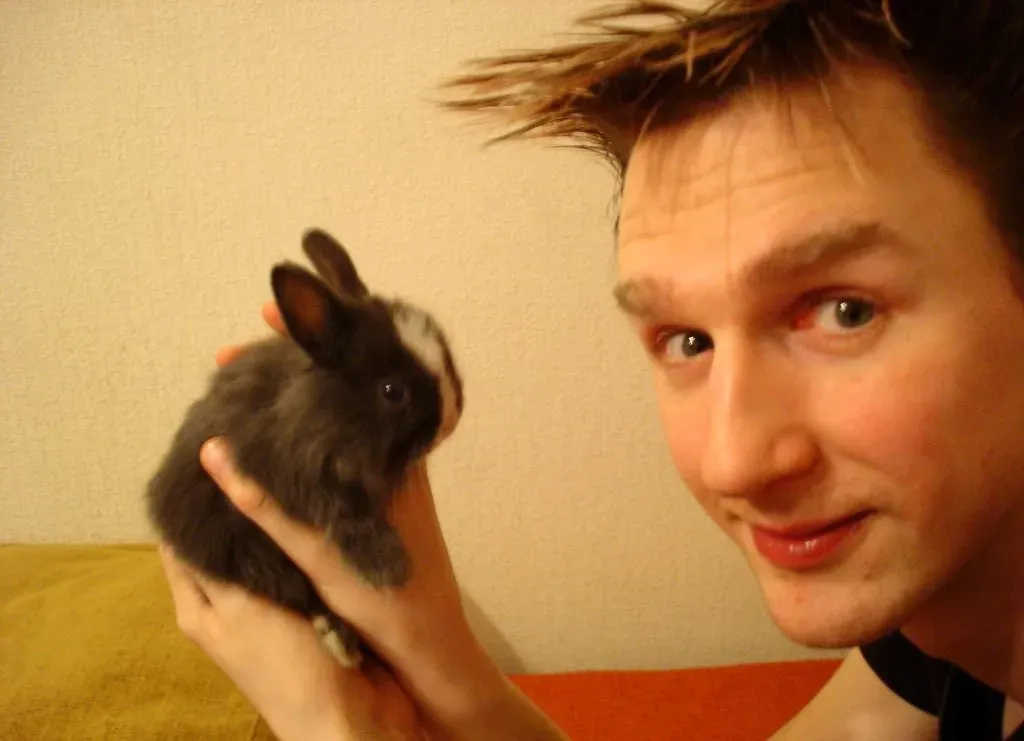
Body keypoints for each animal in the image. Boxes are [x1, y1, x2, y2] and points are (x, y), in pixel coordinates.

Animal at [145, 227, 464, 668]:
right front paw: (391, 567)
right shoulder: (301, 477)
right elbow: (347, 517)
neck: (321, 407)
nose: (451, 419)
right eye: (392, 391)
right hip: (243, 553)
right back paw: (341, 644)